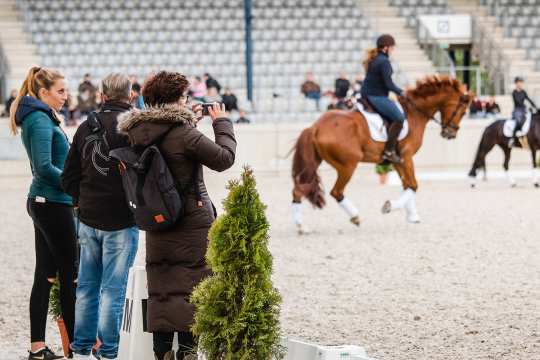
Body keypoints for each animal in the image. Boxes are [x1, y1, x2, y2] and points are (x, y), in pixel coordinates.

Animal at [288, 76, 470, 233]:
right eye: (462, 111)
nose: (450, 134)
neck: (414, 112)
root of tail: (315, 127)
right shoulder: (407, 157)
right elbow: (413, 185)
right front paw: (389, 207)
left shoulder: (398, 160)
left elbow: (407, 185)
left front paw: (412, 216)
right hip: (348, 166)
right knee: (336, 192)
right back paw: (355, 217)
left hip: (314, 163)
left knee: (298, 190)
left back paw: (301, 227)